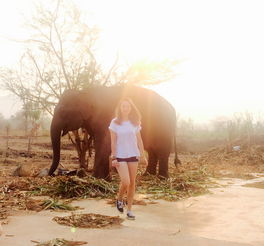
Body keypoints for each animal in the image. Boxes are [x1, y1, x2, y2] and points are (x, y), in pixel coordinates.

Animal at [48, 84, 182, 179]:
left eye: (63, 112)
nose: (51, 174)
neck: (86, 92)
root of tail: (173, 108)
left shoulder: (106, 118)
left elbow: (104, 143)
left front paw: (96, 178)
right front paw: (104, 179)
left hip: (164, 127)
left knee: (162, 150)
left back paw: (162, 178)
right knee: (152, 150)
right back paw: (147, 175)